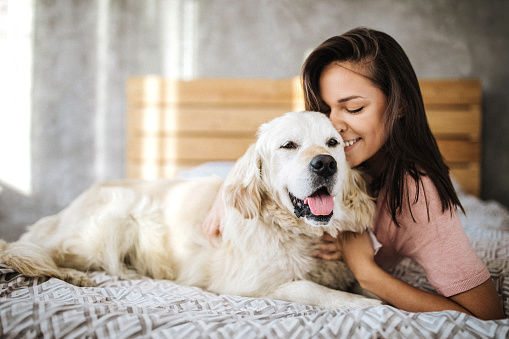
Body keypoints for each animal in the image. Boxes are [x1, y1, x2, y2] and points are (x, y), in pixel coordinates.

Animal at [0, 111, 380, 310]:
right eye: (289, 145)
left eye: (333, 143)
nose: (325, 164)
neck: (297, 232)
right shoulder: (249, 285)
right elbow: (313, 290)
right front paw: (370, 307)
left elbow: (369, 284)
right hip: (112, 221)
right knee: (34, 251)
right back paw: (77, 274)